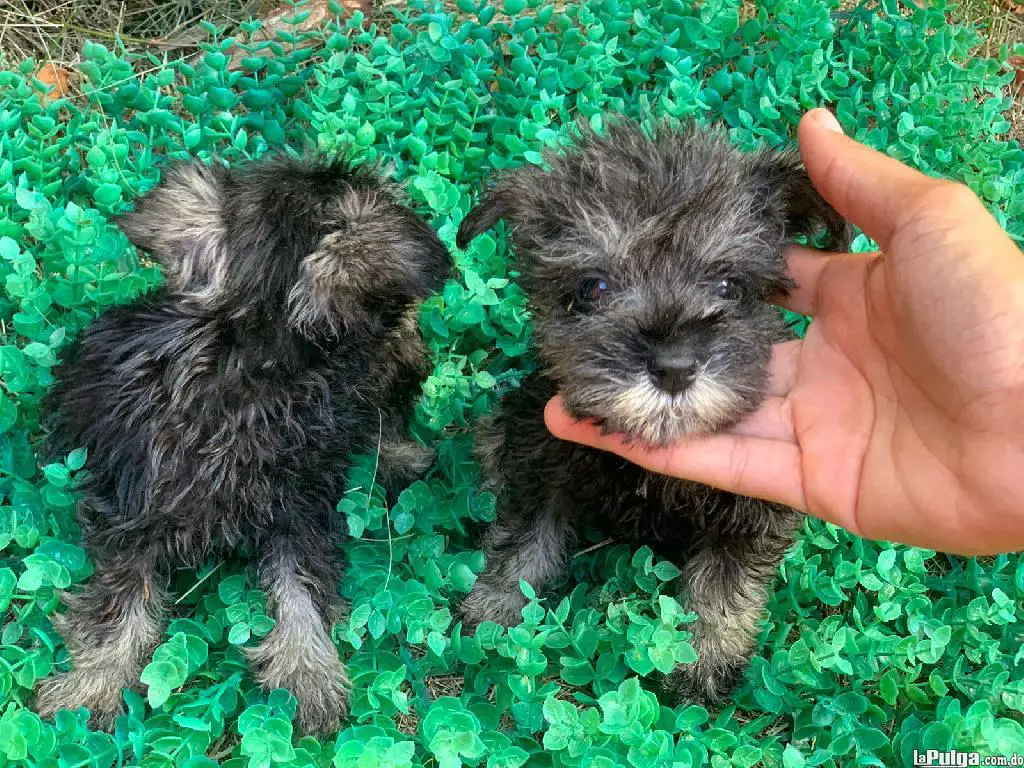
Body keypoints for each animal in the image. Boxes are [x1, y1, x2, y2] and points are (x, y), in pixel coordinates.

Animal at [32, 148, 452, 733]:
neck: (251, 371)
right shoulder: (132, 517)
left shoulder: (298, 510)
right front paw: (91, 685)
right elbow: (121, 603)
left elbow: (298, 585)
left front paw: (308, 671)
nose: (417, 345)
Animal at [454, 118, 847, 708]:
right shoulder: (541, 455)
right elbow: (523, 537)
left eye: (730, 285)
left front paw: (705, 662)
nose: (675, 367)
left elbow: (726, 584)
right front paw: (495, 611)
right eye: (593, 287)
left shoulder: (752, 510)